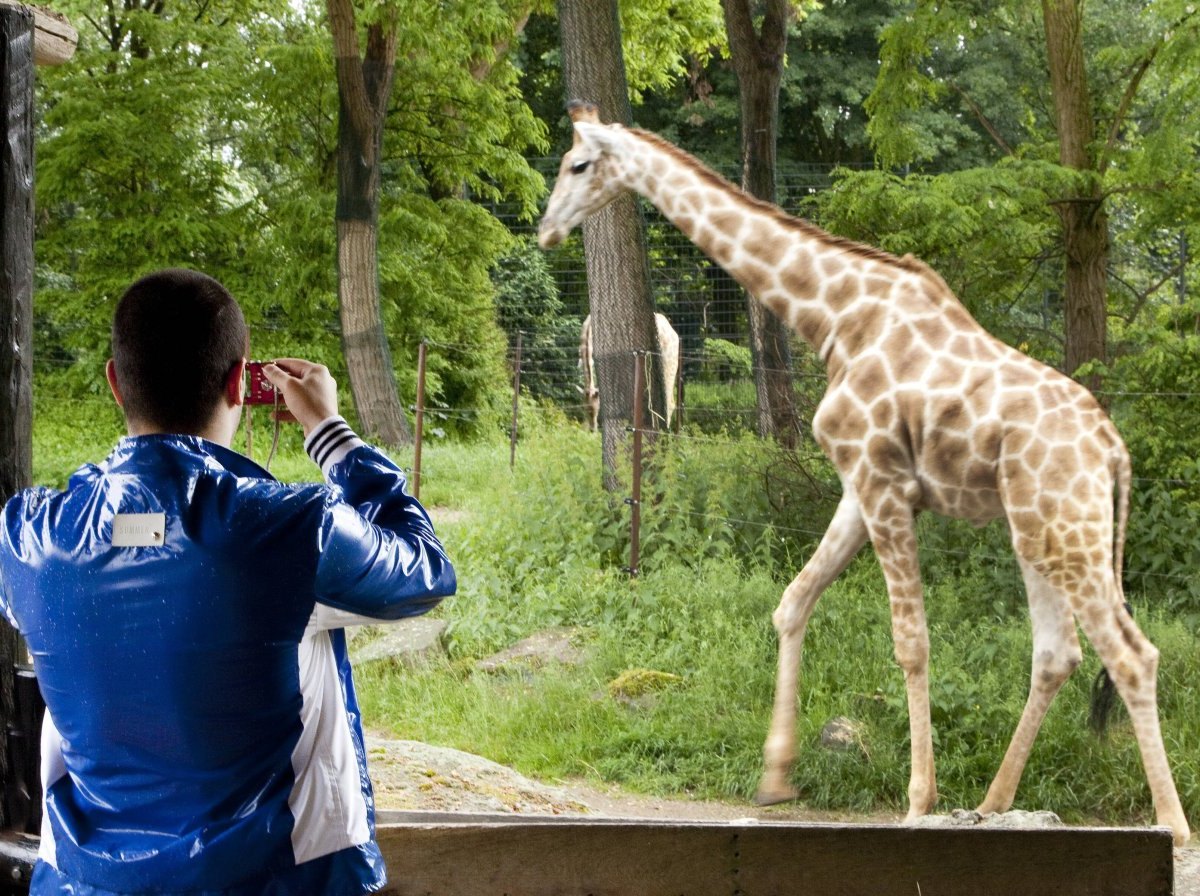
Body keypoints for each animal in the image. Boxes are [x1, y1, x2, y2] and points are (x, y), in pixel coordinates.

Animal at [542, 101, 1190, 844]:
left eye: (578, 165)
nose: (546, 230)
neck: (831, 317)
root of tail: (1114, 450)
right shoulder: (858, 486)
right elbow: (793, 601)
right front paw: (776, 778)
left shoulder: (885, 483)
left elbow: (911, 643)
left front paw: (917, 800)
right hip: (1037, 529)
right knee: (1059, 653)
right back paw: (993, 803)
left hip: (1066, 531)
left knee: (1133, 656)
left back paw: (1172, 825)